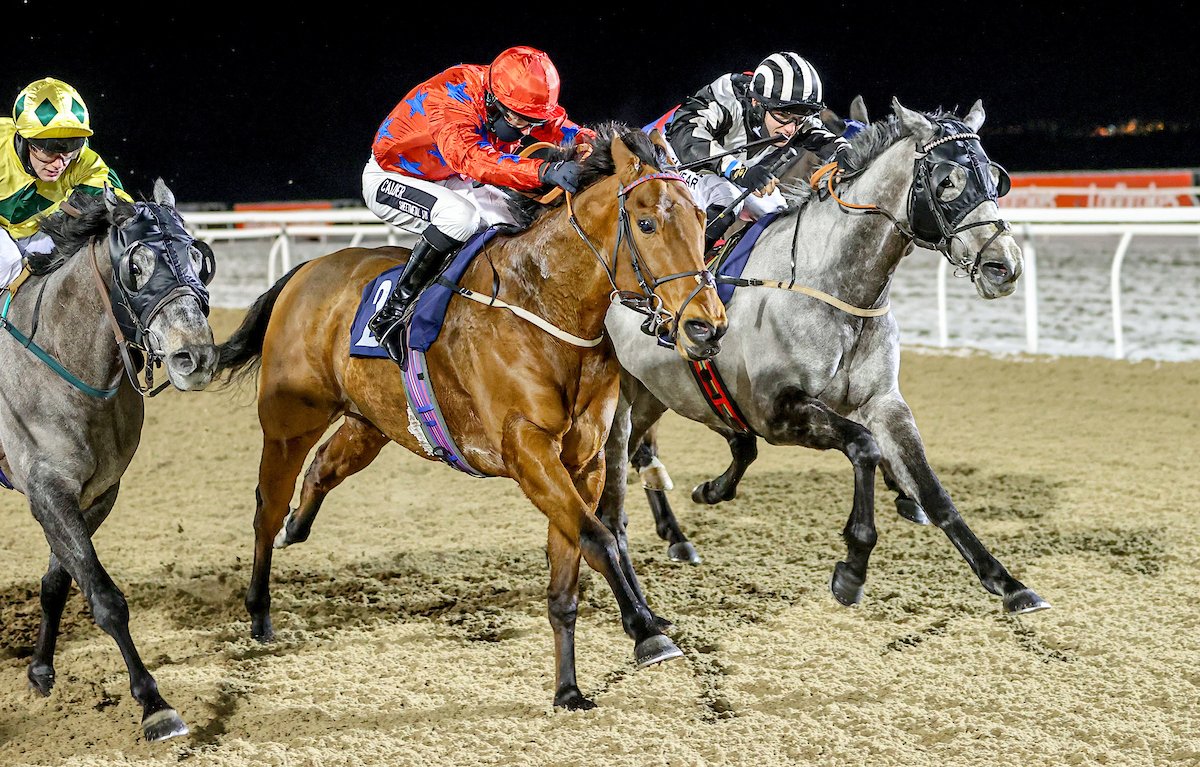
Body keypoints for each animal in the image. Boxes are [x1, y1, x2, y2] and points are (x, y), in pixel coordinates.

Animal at [0, 180, 218, 744]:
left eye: (197, 258)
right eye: (135, 266)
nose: (195, 358)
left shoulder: (97, 492)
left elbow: (59, 582)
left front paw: (40, 671)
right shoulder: (47, 491)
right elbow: (104, 597)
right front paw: (154, 704)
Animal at [212, 123, 724, 710]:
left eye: (702, 219)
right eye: (646, 223)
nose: (707, 327)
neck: (544, 305)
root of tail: (308, 270)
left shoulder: (583, 462)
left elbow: (573, 565)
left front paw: (568, 689)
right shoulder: (527, 450)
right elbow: (597, 538)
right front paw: (646, 632)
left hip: (371, 424)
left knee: (322, 470)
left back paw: (298, 527)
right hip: (289, 421)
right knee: (266, 508)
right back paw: (259, 611)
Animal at [600, 97, 1051, 619]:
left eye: (996, 178)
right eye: (947, 181)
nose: (1005, 266)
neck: (832, 285)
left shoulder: (883, 402)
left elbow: (932, 489)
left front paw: (1005, 580)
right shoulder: (777, 411)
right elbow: (863, 446)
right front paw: (853, 566)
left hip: (659, 393)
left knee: (692, 450)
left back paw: (693, 512)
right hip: (629, 399)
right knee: (622, 473)